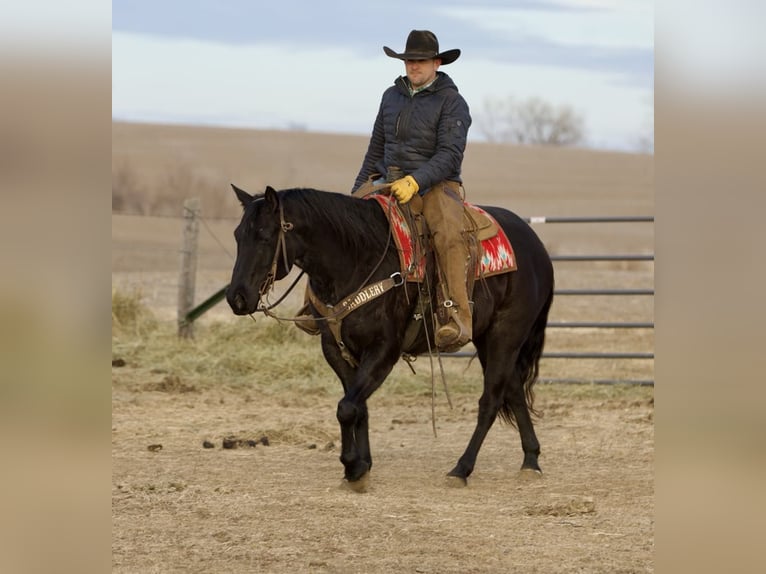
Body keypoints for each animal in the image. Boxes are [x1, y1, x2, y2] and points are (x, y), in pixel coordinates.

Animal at [225, 186, 556, 490]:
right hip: (489, 339)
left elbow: (347, 408)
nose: (236, 297)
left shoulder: (384, 350)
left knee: (490, 400)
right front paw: (362, 466)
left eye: (265, 236)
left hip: (506, 334)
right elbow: (357, 406)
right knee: (513, 390)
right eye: (238, 235)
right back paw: (530, 460)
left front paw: (352, 466)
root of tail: (536, 245)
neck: (357, 260)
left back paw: (461, 469)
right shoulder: (336, 349)